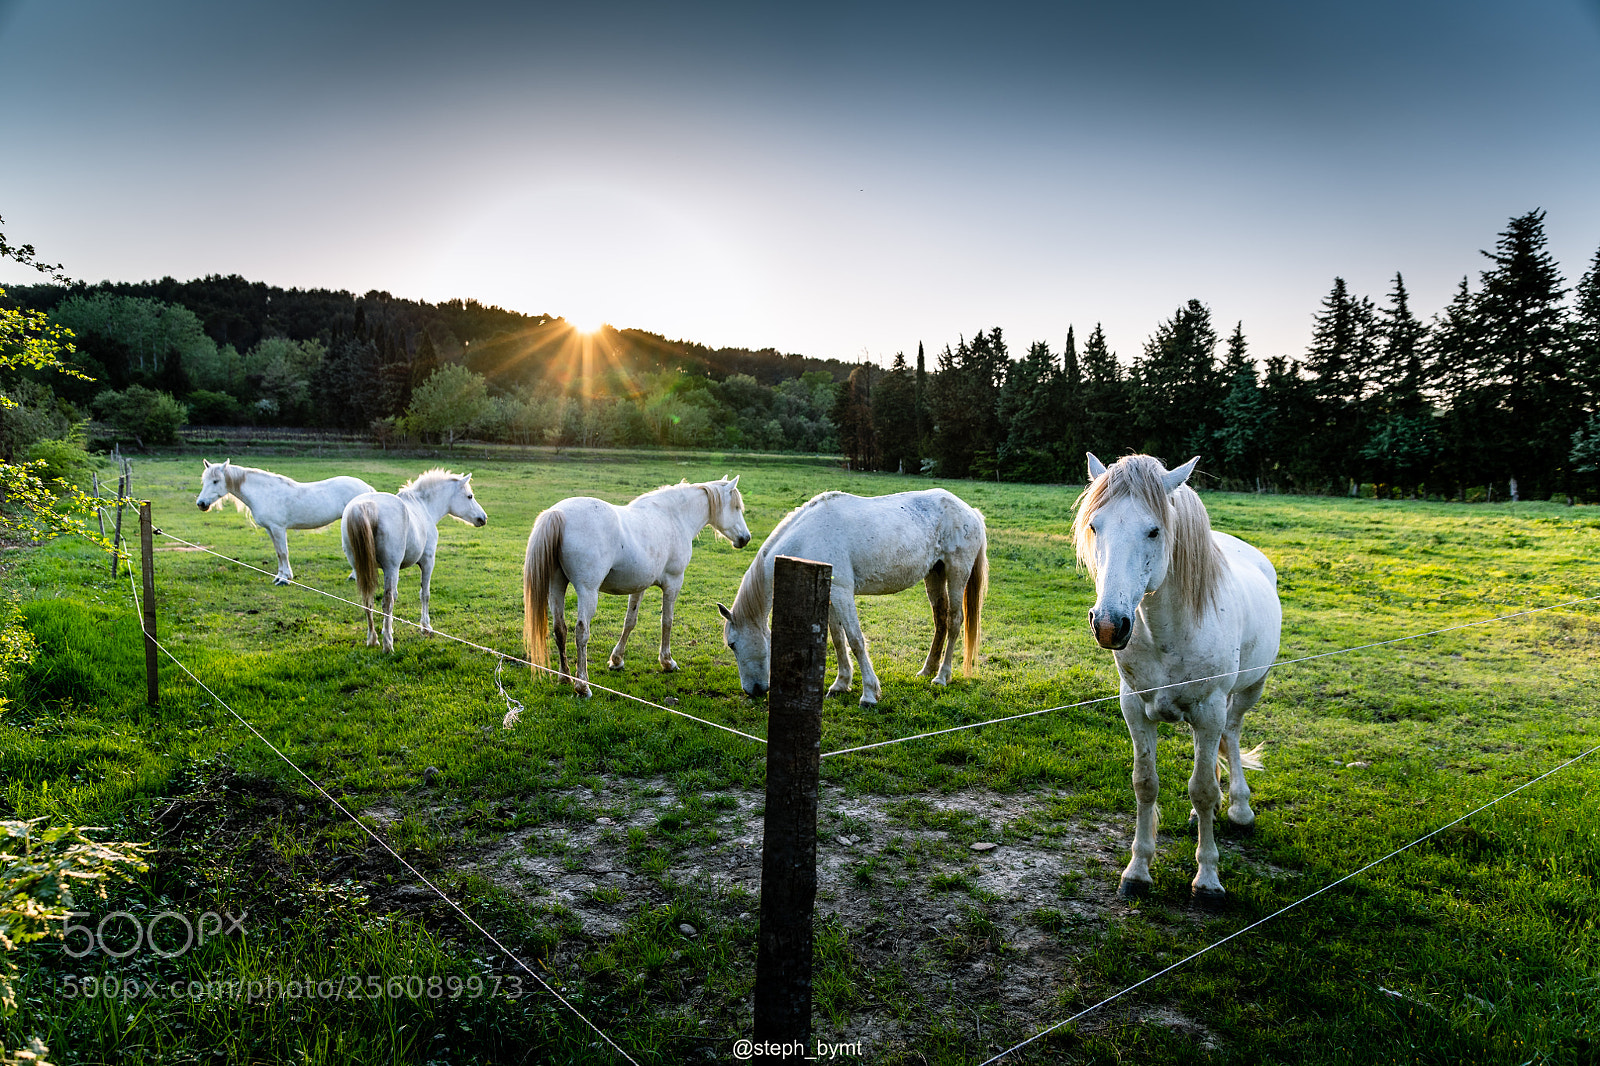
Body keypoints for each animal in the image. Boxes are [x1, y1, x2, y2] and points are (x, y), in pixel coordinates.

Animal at [195, 459, 375, 585]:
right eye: (204, 481)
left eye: (216, 481)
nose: (201, 504)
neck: (264, 493)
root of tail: (367, 488)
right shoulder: (270, 529)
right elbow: (278, 552)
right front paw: (279, 576)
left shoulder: (278, 528)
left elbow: (283, 552)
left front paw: (285, 579)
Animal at [341, 469, 488, 652]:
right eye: (469, 496)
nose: (483, 518)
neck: (424, 507)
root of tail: (365, 506)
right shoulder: (427, 561)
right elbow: (424, 594)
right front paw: (426, 627)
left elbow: (396, 596)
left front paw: (388, 628)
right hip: (391, 568)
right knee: (386, 602)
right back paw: (388, 645)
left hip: (361, 568)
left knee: (367, 600)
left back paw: (373, 639)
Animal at [523, 477, 752, 698]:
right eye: (736, 507)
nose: (746, 538)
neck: (673, 517)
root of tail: (558, 513)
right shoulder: (673, 583)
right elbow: (667, 621)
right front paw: (667, 662)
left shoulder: (639, 586)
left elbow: (630, 622)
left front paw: (616, 660)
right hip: (587, 591)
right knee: (581, 632)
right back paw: (582, 685)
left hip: (557, 585)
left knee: (559, 628)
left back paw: (565, 677)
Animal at [719, 488, 987, 706]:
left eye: (732, 644)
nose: (753, 691)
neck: (809, 536)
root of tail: (970, 512)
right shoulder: (830, 595)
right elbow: (838, 640)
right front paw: (840, 684)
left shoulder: (842, 593)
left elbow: (856, 640)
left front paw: (869, 694)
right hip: (934, 573)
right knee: (940, 620)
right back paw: (927, 670)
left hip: (957, 572)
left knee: (954, 621)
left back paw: (941, 677)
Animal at [1072, 452, 1281, 903]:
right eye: (1095, 525)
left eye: (1154, 530)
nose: (1109, 625)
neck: (1167, 631)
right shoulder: (1135, 708)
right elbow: (1145, 783)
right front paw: (1137, 871)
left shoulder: (1209, 709)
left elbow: (1201, 788)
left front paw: (1208, 880)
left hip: (1248, 691)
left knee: (1233, 735)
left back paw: (1239, 808)